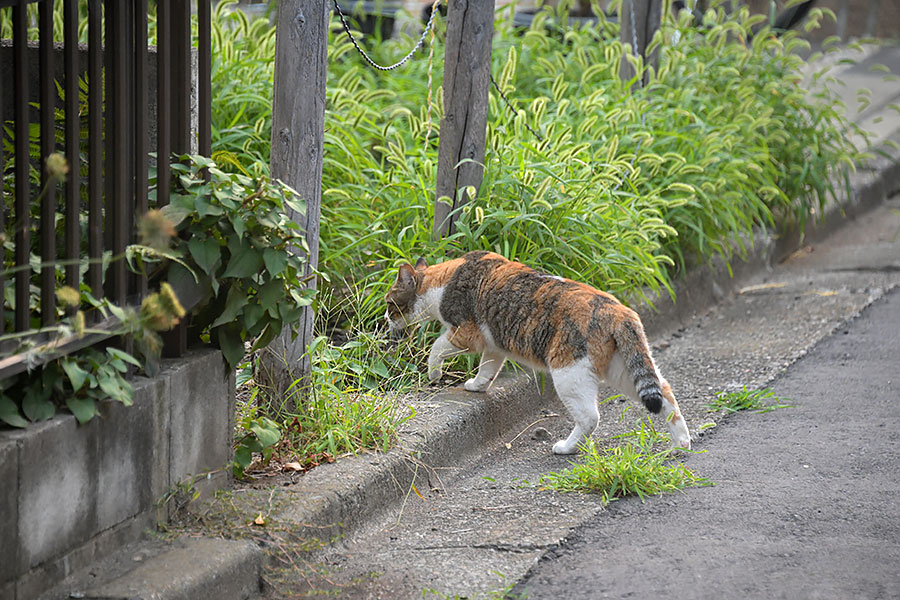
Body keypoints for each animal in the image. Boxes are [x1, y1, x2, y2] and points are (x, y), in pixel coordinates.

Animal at [384, 251, 692, 452]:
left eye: (389, 303)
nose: (385, 319)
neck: (442, 280)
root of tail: (618, 311)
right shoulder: (494, 345)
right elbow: (488, 368)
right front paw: (477, 385)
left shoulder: (467, 334)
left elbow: (436, 347)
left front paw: (434, 373)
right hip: (622, 369)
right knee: (665, 393)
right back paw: (682, 442)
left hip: (569, 373)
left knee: (590, 417)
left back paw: (566, 447)